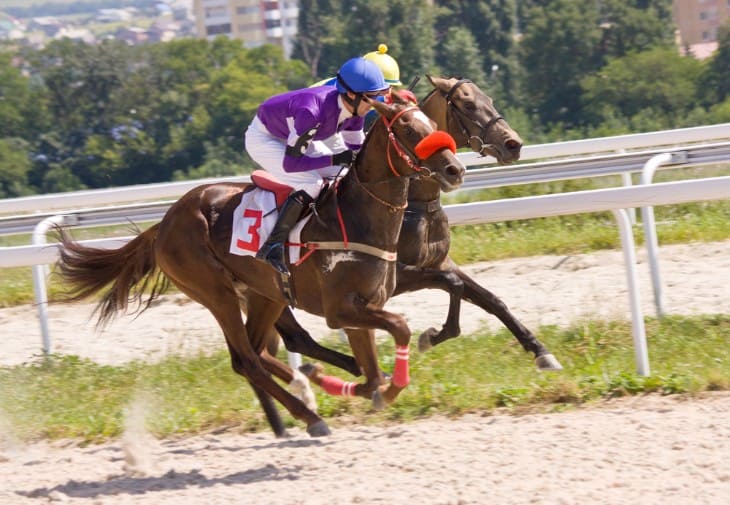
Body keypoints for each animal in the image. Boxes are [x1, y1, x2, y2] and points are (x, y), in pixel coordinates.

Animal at [54, 96, 464, 436]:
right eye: (409, 130)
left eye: (432, 122)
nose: (455, 169)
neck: (357, 217)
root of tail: (164, 224)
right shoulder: (341, 309)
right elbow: (399, 330)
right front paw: (389, 385)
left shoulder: (362, 307)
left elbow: (372, 371)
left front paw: (353, 383)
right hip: (217, 293)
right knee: (246, 360)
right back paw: (310, 416)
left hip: (266, 293)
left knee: (263, 350)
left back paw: (307, 384)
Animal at [270, 74, 560, 374]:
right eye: (467, 105)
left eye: (488, 99)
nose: (514, 144)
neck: (416, 203)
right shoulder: (398, 276)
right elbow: (453, 285)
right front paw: (432, 336)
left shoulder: (440, 262)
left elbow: (490, 299)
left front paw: (540, 351)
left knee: (294, 338)